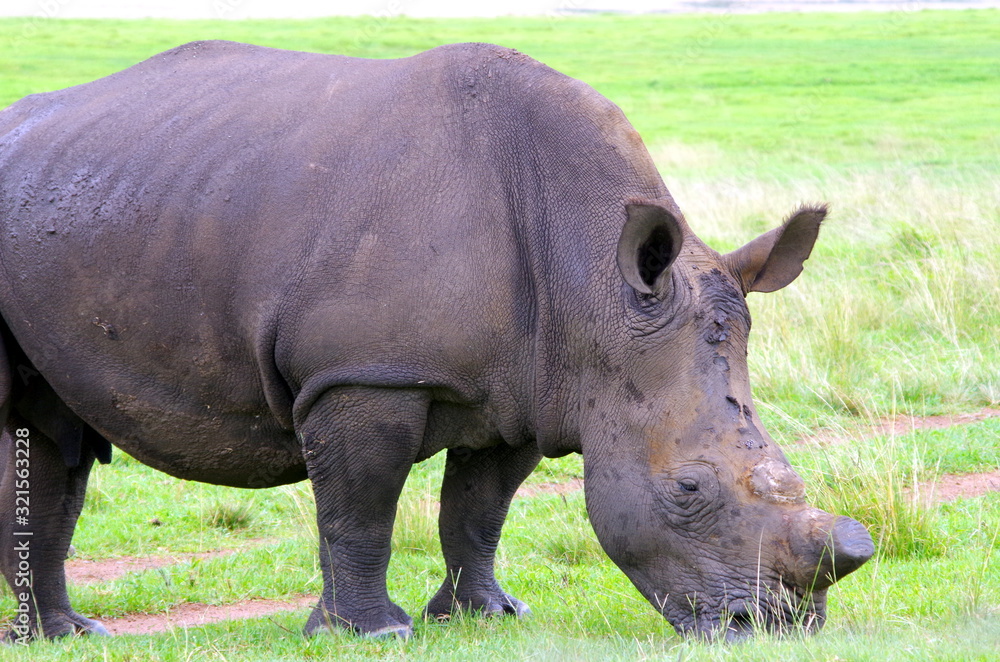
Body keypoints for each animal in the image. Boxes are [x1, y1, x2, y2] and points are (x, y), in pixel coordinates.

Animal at [0, 41, 873, 642]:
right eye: (687, 489)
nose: (776, 626)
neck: (594, 283)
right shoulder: (366, 372)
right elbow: (361, 505)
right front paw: (372, 633)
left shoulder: (530, 382)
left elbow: (479, 509)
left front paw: (487, 616)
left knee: (51, 438)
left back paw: (67, 636)